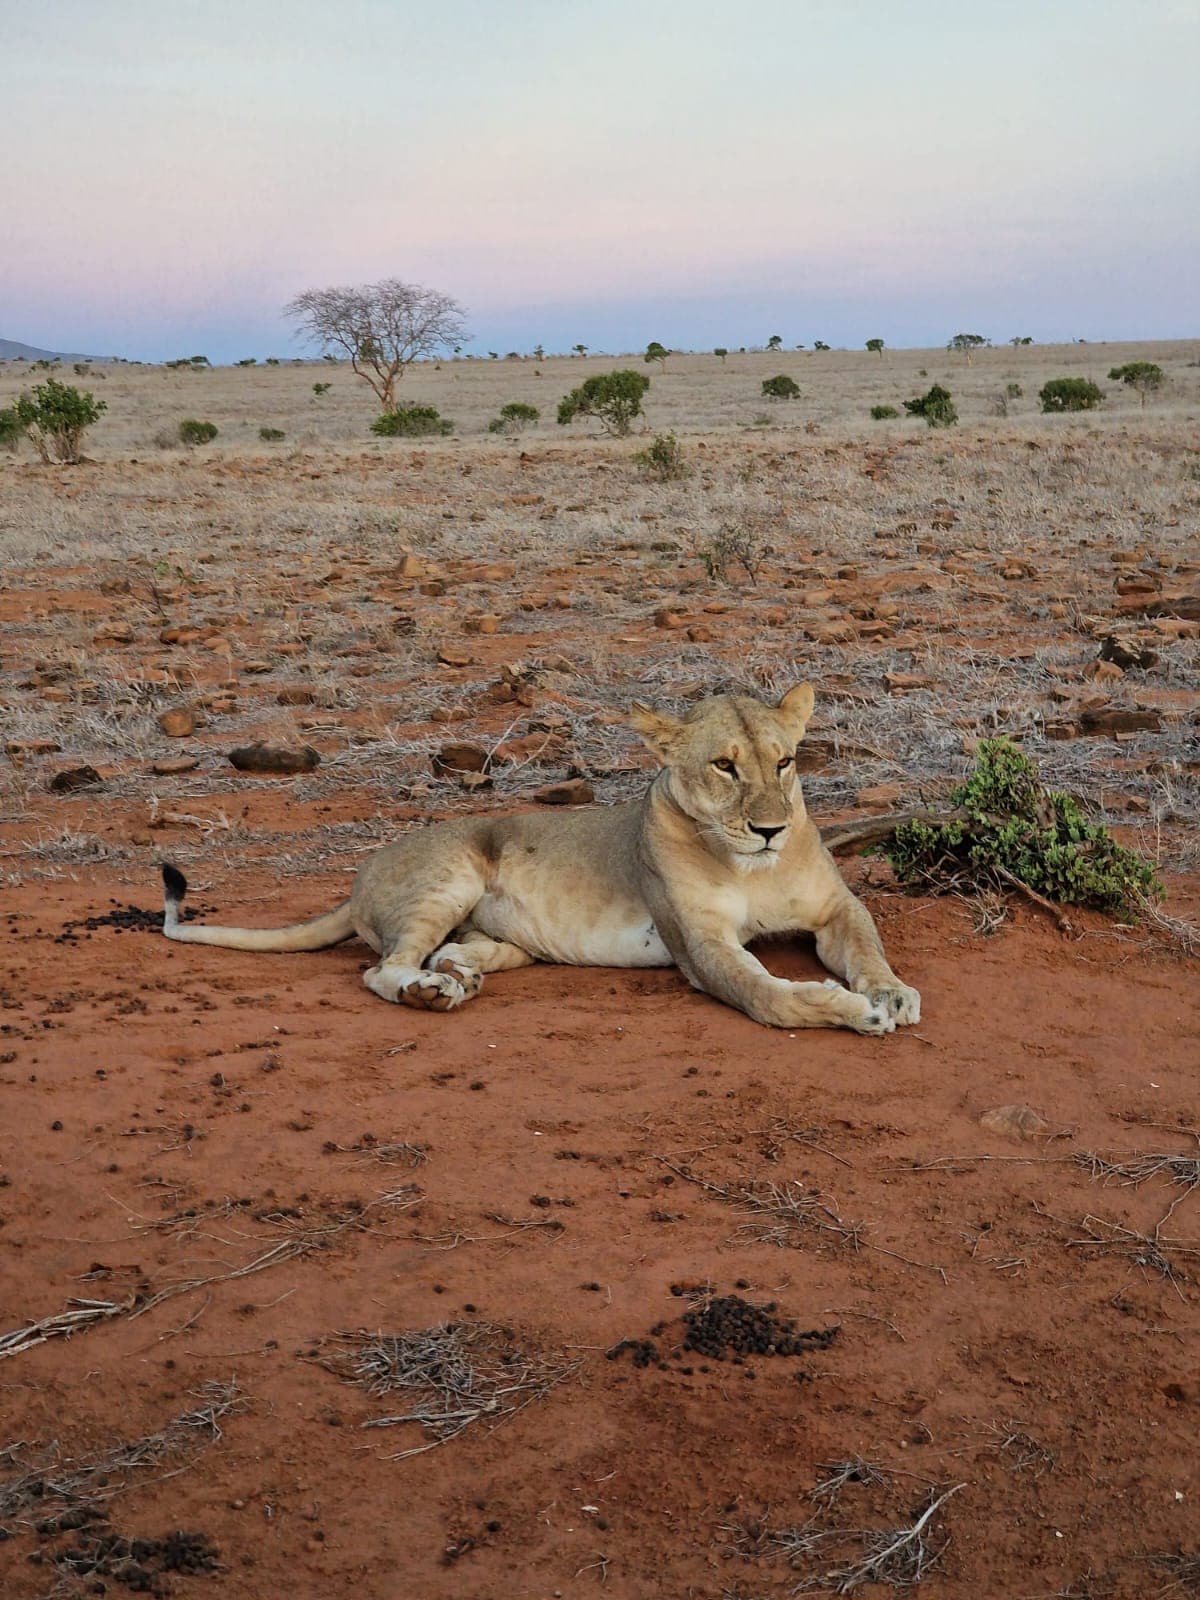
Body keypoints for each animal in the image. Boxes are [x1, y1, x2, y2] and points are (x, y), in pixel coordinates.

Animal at [161, 684, 920, 1035]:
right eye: (724, 766)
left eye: (785, 762)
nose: (769, 829)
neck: (749, 865)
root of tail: (359, 879)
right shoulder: (700, 944)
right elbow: (766, 994)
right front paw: (851, 1009)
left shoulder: (834, 907)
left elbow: (868, 945)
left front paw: (890, 992)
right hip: (452, 872)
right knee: (382, 969)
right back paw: (430, 991)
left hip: (495, 932)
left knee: (452, 950)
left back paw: (459, 973)